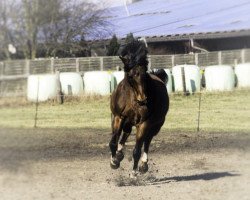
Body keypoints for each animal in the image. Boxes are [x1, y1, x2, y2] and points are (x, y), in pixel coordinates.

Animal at [108, 39, 169, 177]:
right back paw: (119, 155)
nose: (143, 100)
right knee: (125, 134)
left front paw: (134, 172)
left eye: (144, 74)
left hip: (155, 126)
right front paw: (114, 162)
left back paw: (143, 165)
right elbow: (113, 142)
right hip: (127, 121)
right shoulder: (118, 117)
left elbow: (137, 150)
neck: (132, 99)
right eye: (130, 76)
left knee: (147, 141)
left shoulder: (144, 123)